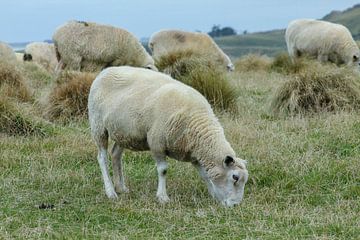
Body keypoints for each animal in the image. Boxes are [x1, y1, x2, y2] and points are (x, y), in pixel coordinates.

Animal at [88, 65, 249, 206]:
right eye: (235, 177)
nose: (235, 205)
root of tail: (105, 71)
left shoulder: (194, 153)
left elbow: (204, 175)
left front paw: (213, 194)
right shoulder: (156, 143)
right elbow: (163, 170)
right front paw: (162, 197)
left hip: (122, 132)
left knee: (115, 154)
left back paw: (121, 188)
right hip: (98, 126)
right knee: (102, 158)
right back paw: (111, 192)